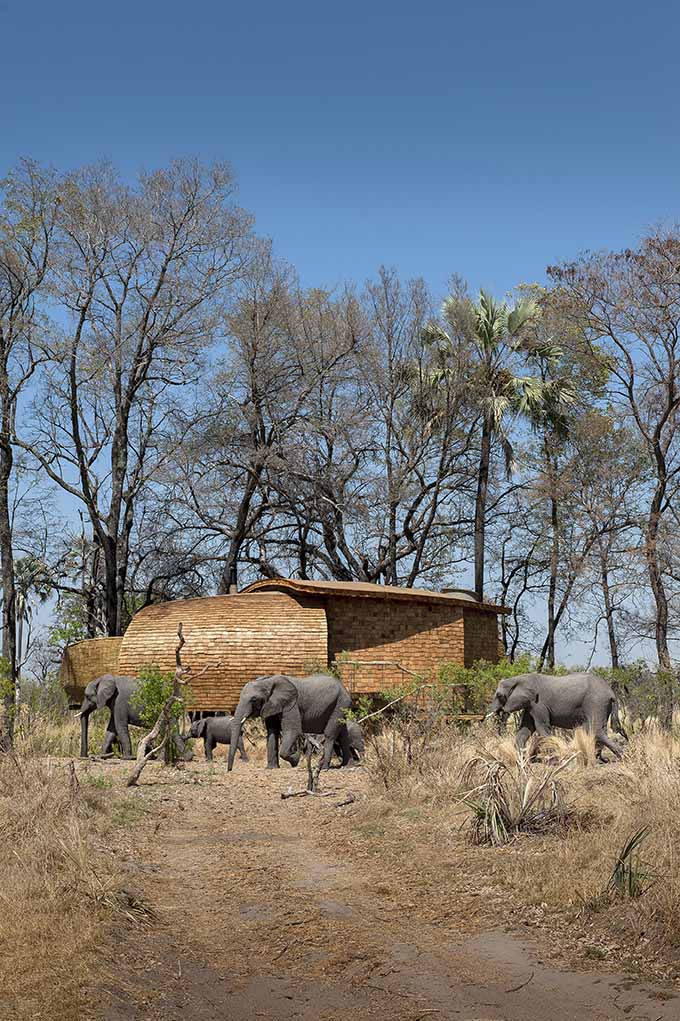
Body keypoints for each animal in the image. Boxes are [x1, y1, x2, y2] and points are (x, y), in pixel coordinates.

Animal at [483, 669, 628, 759]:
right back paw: (600, 758)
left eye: (499, 696)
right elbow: (525, 729)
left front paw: (557, 756)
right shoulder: (530, 705)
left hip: (596, 702)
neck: (518, 678)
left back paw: (621, 756)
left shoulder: (538, 703)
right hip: (601, 705)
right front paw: (520, 759)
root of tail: (611, 692)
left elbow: (542, 727)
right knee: (597, 729)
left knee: (596, 729)